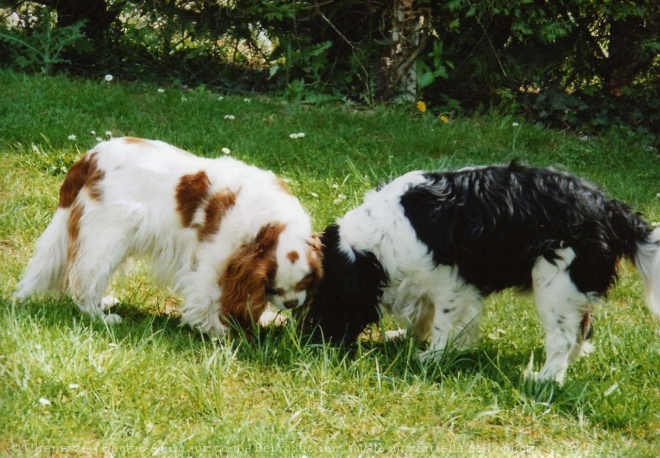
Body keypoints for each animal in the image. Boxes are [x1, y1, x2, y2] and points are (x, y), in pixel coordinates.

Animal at [14, 135, 324, 332]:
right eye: (274, 287)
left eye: (306, 282)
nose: (292, 303)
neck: (267, 224)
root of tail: (89, 158)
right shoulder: (212, 257)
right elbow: (209, 295)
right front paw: (219, 331)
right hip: (110, 233)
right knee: (84, 279)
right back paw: (98, 316)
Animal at [310, 161, 660, 382]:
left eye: (325, 301)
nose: (311, 344)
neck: (373, 247)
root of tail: (610, 209)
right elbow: (423, 316)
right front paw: (407, 338)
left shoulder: (452, 286)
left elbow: (442, 325)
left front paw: (431, 357)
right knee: (581, 328)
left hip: (554, 281)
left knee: (562, 336)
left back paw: (544, 379)